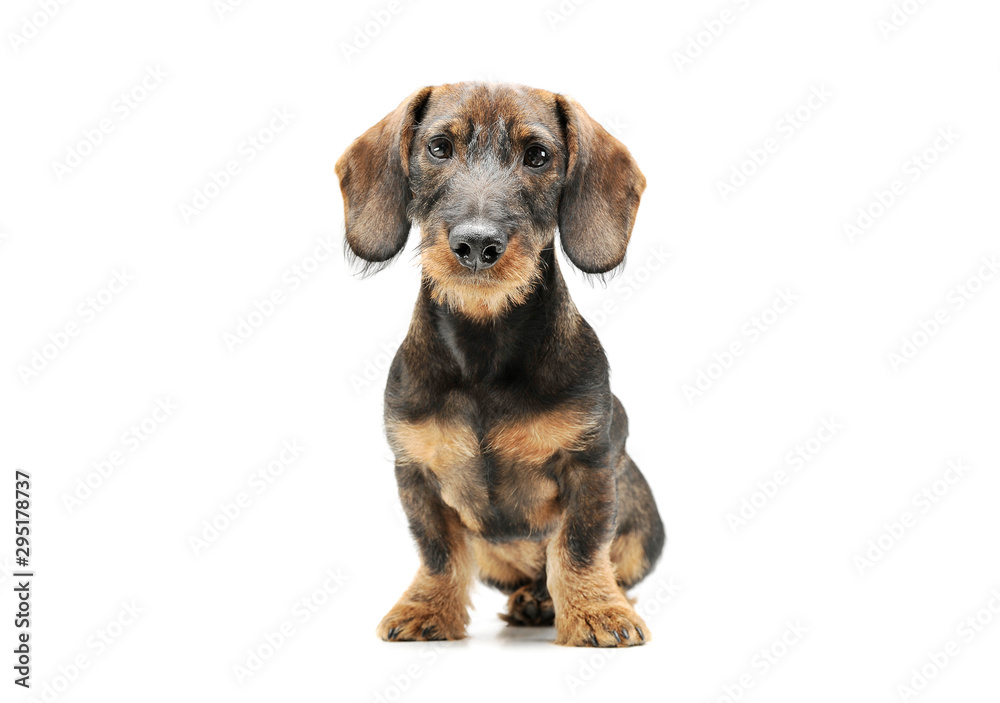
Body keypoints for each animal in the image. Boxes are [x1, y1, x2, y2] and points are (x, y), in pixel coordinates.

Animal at [336, 82, 664, 648]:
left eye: (538, 156)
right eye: (438, 148)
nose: (476, 245)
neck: (483, 354)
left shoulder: (591, 467)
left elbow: (579, 549)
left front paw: (597, 613)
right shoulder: (415, 473)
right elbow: (439, 553)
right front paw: (427, 608)